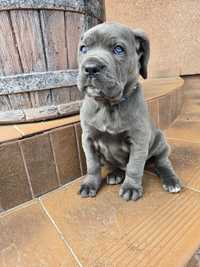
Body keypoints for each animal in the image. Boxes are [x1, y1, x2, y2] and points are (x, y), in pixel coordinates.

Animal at [76, 22, 181, 201]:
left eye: (118, 49)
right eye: (83, 49)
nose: (90, 68)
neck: (109, 106)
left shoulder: (139, 139)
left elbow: (134, 166)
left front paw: (131, 188)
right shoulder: (88, 138)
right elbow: (92, 165)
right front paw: (89, 184)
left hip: (160, 142)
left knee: (162, 162)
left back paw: (171, 180)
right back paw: (115, 174)